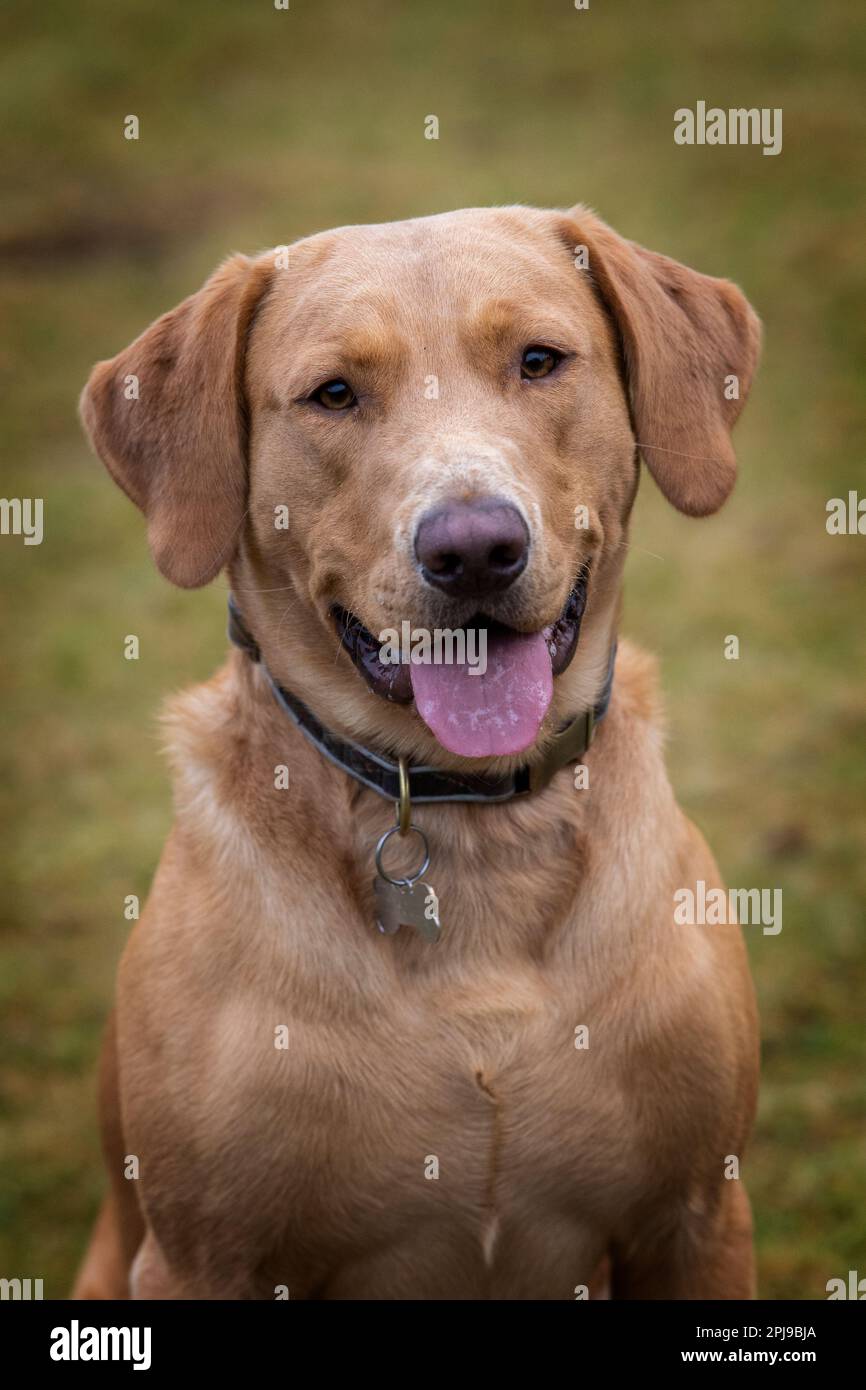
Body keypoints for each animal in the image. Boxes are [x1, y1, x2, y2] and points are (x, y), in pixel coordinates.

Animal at [76, 205, 767, 1301]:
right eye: (333, 394)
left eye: (539, 360)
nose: (475, 549)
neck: (472, 820)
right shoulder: (199, 1261)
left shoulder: (696, 1216)